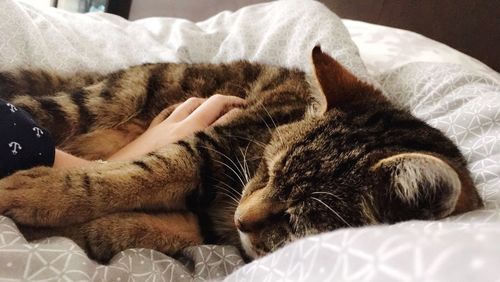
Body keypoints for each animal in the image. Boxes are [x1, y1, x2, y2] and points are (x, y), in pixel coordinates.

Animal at [0, 46, 482, 262]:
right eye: (266, 169)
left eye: (299, 218)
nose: (241, 219)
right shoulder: (208, 143)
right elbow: (133, 175)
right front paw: (40, 195)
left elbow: (155, 225)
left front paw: (100, 229)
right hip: (96, 101)